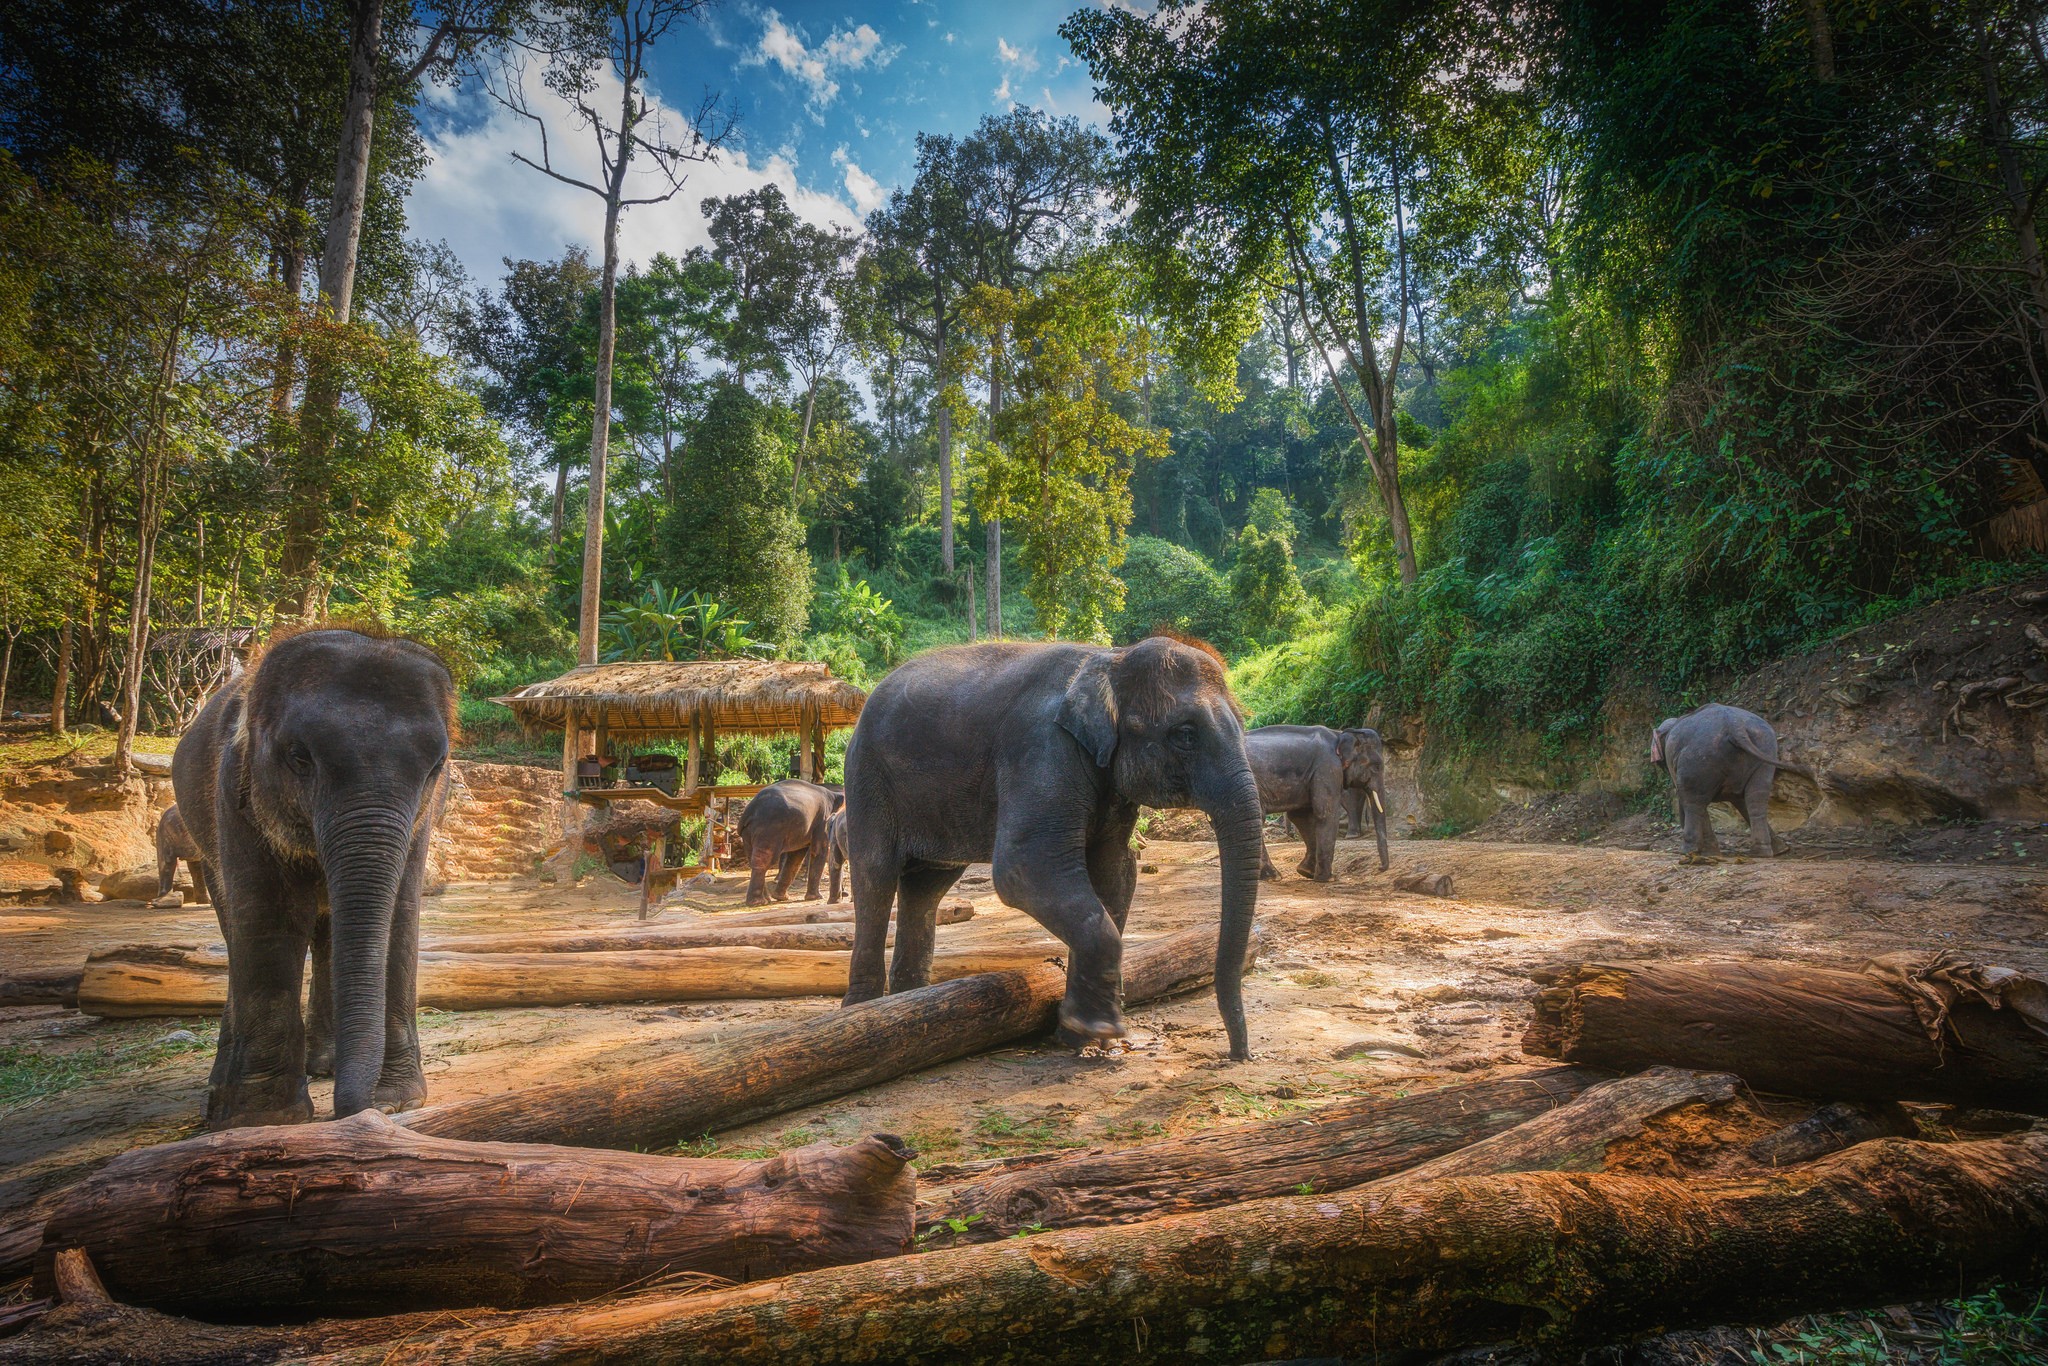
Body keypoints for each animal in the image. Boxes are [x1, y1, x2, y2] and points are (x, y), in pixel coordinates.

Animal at [172, 627, 454, 1130]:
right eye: (299, 757)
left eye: (436, 766)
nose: (363, 1110)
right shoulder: (234, 793)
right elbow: (270, 916)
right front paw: (262, 1120)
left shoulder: (423, 817)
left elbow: (400, 915)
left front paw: (397, 1100)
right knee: (235, 927)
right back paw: (222, 1087)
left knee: (326, 931)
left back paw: (323, 1064)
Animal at [841, 636, 1263, 1059]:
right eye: (1186, 735)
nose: (1239, 1054)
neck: (1112, 659)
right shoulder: (1041, 748)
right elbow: (1023, 868)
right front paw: (1102, 1030)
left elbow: (1114, 871)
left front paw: (1079, 1035)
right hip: (866, 779)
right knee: (875, 877)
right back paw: (864, 1011)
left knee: (926, 887)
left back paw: (911, 1004)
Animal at [1245, 725, 1386, 881]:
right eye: (1377, 766)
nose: (1380, 868)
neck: (1339, 734)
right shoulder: (1328, 768)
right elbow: (1326, 813)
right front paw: (1328, 878)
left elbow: (1302, 816)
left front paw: (1307, 872)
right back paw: (1273, 876)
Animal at [1651, 703, 1808, 858]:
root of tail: (1735, 726)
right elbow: (1740, 800)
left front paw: (1708, 852)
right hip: (1765, 748)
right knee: (1756, 797)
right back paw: (1767, 852)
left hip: (1699, 758)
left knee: (1692, 800)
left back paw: (1687, 851)